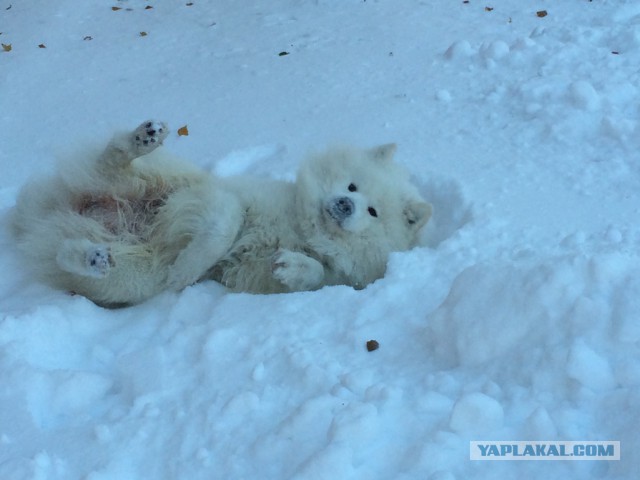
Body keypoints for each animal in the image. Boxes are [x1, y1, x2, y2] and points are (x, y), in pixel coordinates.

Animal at [11, 122, 430, 306]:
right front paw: (188, 268)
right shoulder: (224, 197)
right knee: (113, 160)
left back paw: (92, 257)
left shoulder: (337, 278)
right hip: (154, 181)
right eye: (352, 186)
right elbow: (222, 226)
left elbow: (315, 273)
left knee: (67, 256)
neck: (303, 227)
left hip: (135, 275)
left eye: (373, 212)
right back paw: (141, 138)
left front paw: (293, 266)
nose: (344, 204)